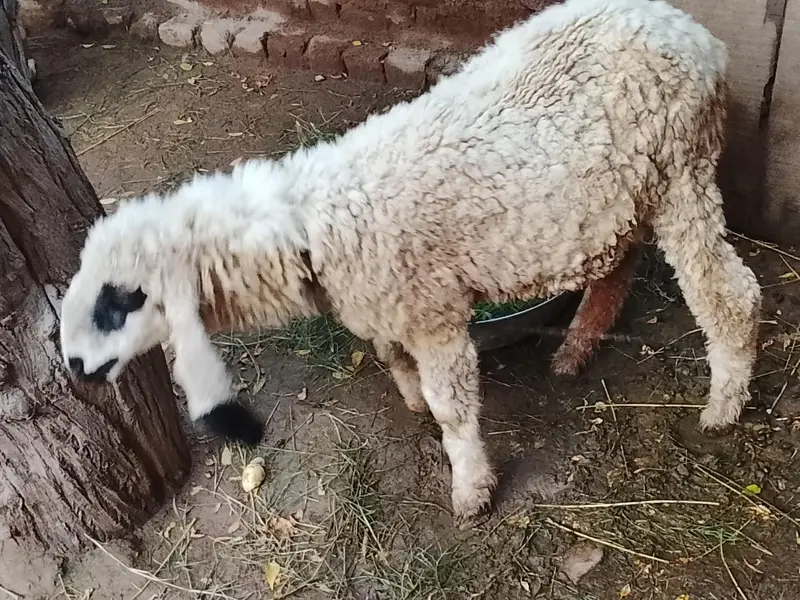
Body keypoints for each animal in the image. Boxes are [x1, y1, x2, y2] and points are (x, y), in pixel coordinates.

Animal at [59, 0, 762, 528]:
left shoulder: (433, 313)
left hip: (682, 169)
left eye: (121, 298)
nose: (76, 369)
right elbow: (390, 357)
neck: (312, 224)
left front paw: (471, 490)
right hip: (623, 194)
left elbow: (453, 407)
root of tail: (697, 35)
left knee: (730, 292)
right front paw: (412, 400)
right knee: (618, 266)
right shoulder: (386, 305)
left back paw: (723, 405)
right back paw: (577, 349)